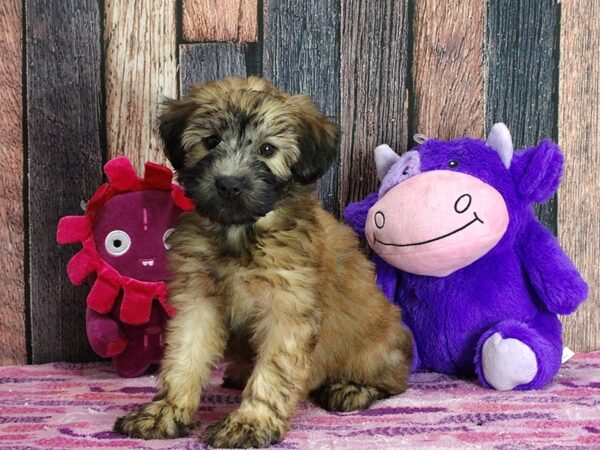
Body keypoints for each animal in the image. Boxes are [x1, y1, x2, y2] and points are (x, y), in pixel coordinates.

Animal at [112, 76, 412, 446]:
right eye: (211, 142)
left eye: (267, 150)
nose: (229, 185)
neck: (240, 233)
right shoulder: (198, 298)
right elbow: (184, 355)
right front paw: (166, 410)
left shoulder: (287, 308)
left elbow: (273, 371)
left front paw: (250, 422)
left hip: (377, 349)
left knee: (390, 381)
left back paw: (352, 388)